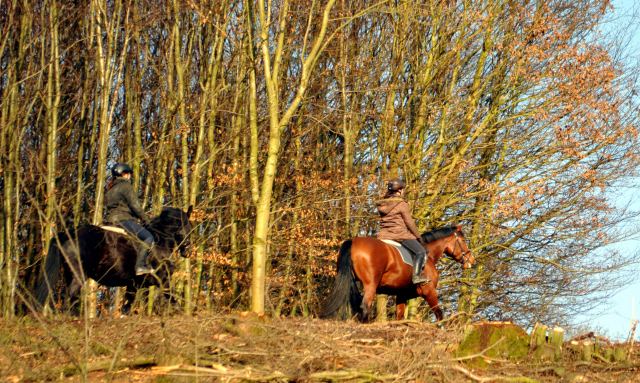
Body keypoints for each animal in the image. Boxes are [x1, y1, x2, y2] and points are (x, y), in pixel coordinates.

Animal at [35, 207, 192, 316]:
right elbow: (173, 300)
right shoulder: (164, 280)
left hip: (71, 274)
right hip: (78, 274)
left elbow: (127, 307)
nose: (188, 252)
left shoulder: (135, 285)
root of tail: (68, 233)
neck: (161, 241)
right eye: (190, 227)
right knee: (68, 297)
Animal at [322, 226, 472, 322]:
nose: (471, 260)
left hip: (346, 280)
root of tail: (353, 242)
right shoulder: (429, 292)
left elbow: (399, 318)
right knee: (365, 308)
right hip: (370, 285)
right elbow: (439, 315)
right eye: (464, 241)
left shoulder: (402, 295)